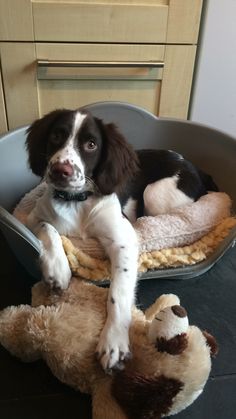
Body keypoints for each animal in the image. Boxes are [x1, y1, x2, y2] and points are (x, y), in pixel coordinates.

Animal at [25, 107, 218, 370]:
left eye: (91, 144)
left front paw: (113, 341)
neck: (76, 201)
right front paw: (57, 269)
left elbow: (119, 291)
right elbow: (48, 228)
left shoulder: (124, 239)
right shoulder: (33, 217)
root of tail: (198, 169)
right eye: (56, 136)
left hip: (154, 193)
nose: (60, 171)